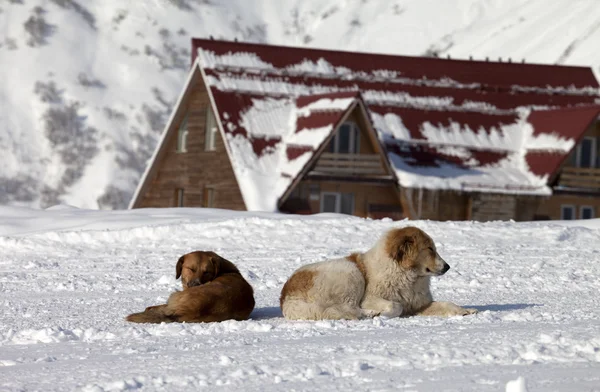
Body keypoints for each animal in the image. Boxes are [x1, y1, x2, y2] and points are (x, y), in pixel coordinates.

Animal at [278, 225, 476, 320]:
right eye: (429, 249)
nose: (447, 266)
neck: (406, 275)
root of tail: (287, 297)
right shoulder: (370, 299)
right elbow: (396, 305)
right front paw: (384, 314)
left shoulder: (419, 305)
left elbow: (446, 304)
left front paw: (465, 310)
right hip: (351, 274)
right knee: (346, 308)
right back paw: (369, 315)